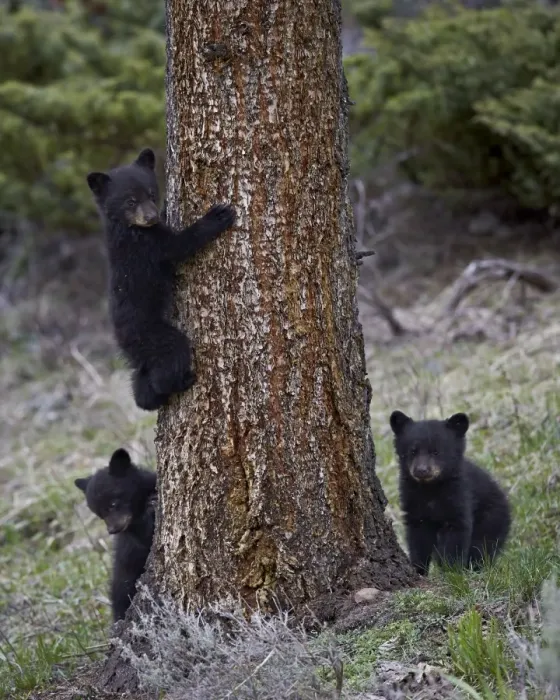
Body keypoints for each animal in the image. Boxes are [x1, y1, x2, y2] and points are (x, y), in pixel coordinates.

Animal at [74, 448, 157, 622]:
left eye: (113, 503)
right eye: (98, 514)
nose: (112, 530)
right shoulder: (133, 534)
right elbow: (146, 537)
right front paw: (151, 508)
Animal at [86, 147, 236, 411]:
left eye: (152, 194)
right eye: (130, 201)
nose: (151, 216)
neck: (126, 227)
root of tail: (121, 340)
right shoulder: (147, 244)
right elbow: (180, 245)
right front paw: (218, 216)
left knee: (141, 378)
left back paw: (147, 397)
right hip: (153, 336)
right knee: (171, 358)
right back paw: (182, 381)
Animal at [389, 410, 511, 575]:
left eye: (436, 451)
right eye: (412, 451)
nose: (421, 470)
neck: (430, 489)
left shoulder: (458, 496)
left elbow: (457, 534)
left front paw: (452, 571)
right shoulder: (413, 501)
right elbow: (418, 537)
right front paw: (419, 569)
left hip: (491, 520)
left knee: (482, 548)